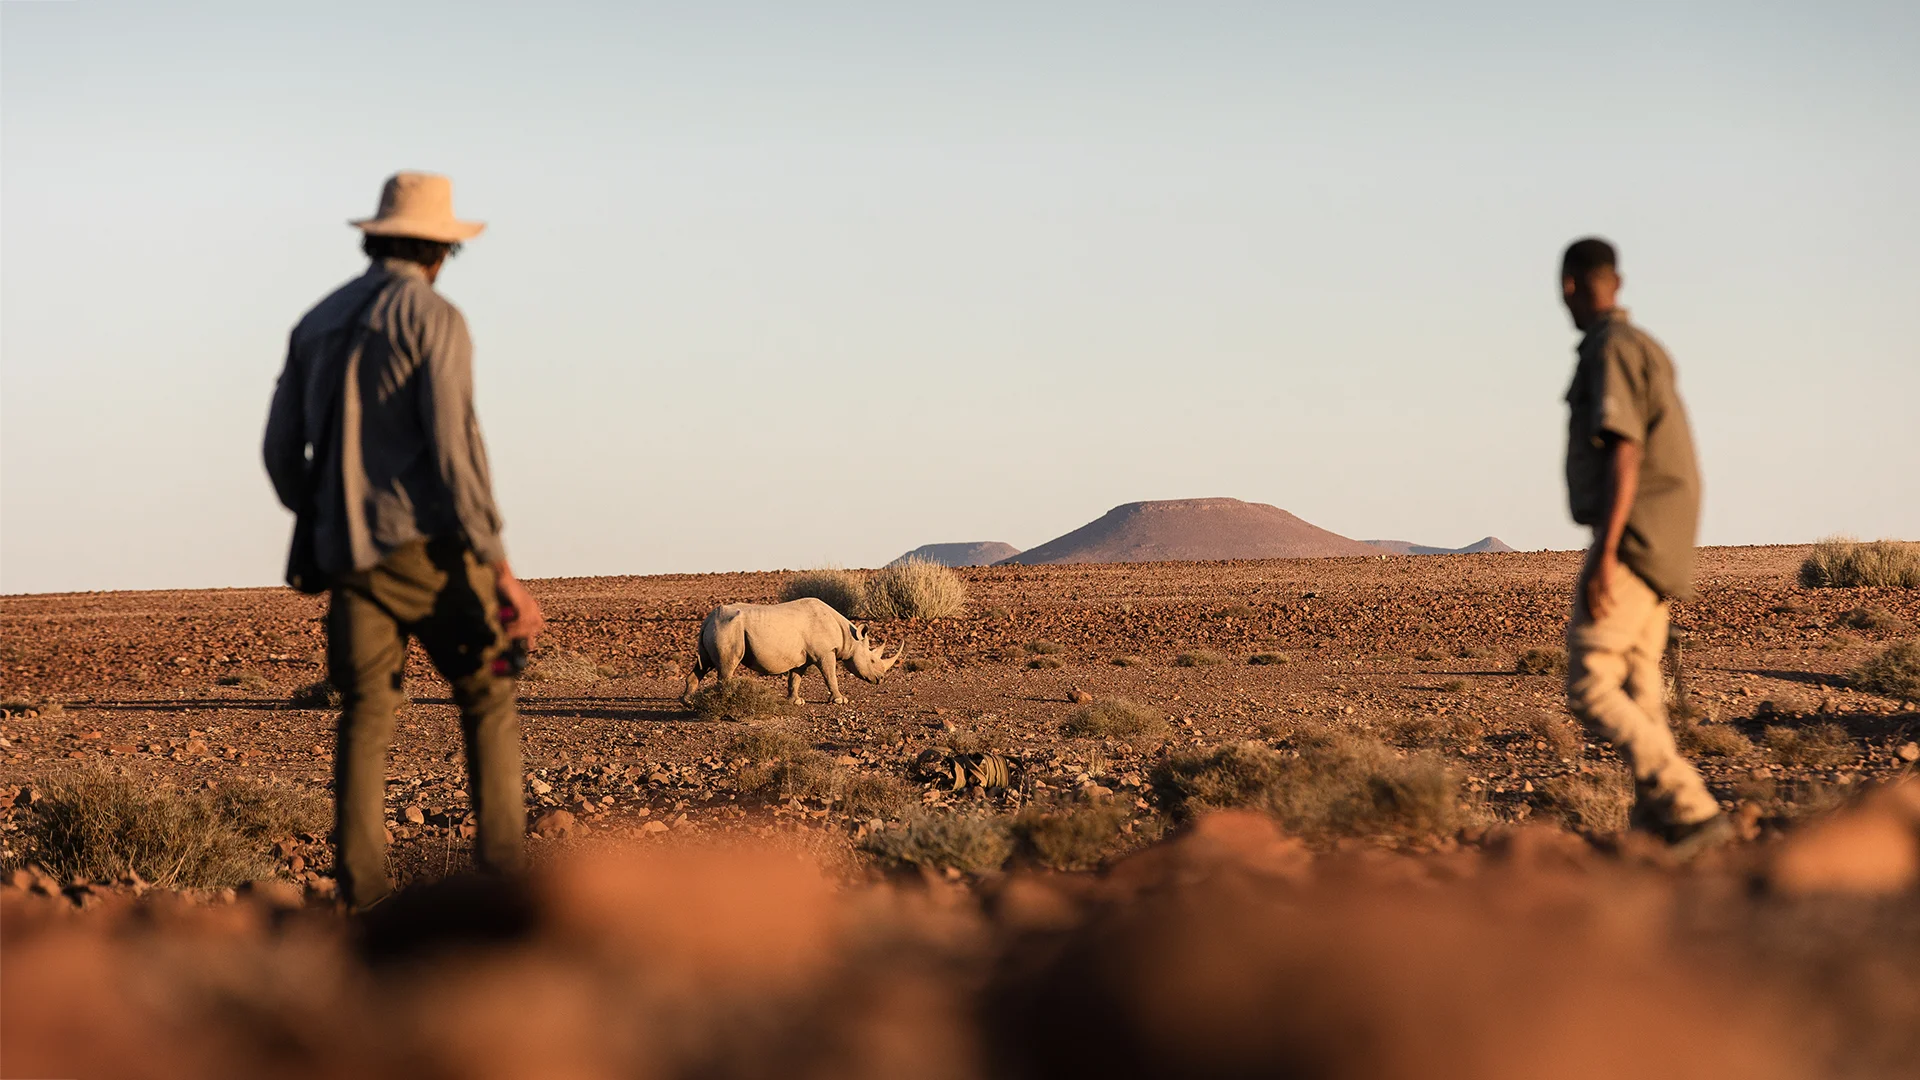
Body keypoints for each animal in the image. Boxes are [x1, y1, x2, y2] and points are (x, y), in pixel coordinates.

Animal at [685, 598, 906, 705]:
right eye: (872, 661)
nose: (880, 679)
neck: (849, 638)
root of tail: (707, 620)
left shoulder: (802, 658)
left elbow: (795, 678)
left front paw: (796, 701)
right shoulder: (825, 653)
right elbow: (830, 675)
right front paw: (840, 700)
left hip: (718, 627)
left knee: (704, 664)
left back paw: (688, 702)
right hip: (728, 628)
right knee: (727, 666)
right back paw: (727, 701)